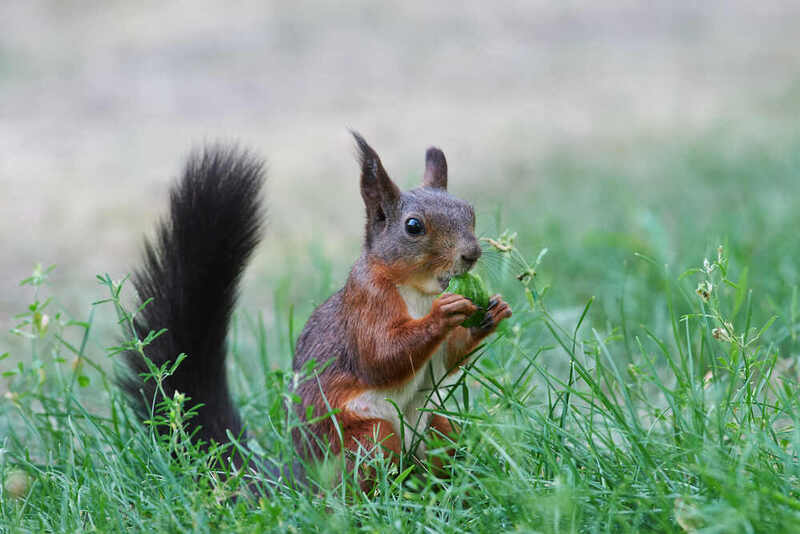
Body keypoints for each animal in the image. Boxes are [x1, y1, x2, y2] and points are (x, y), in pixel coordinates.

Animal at [121, 133, 512, 490]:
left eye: (470, 212)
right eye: (413, 226)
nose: (472, 254)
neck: (419, 290)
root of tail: (302, 482)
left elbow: (446, 358)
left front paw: (490, 313)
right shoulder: (365, 304)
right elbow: (380, 357)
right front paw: (442, 315)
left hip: (437, 427)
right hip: (366, 439)